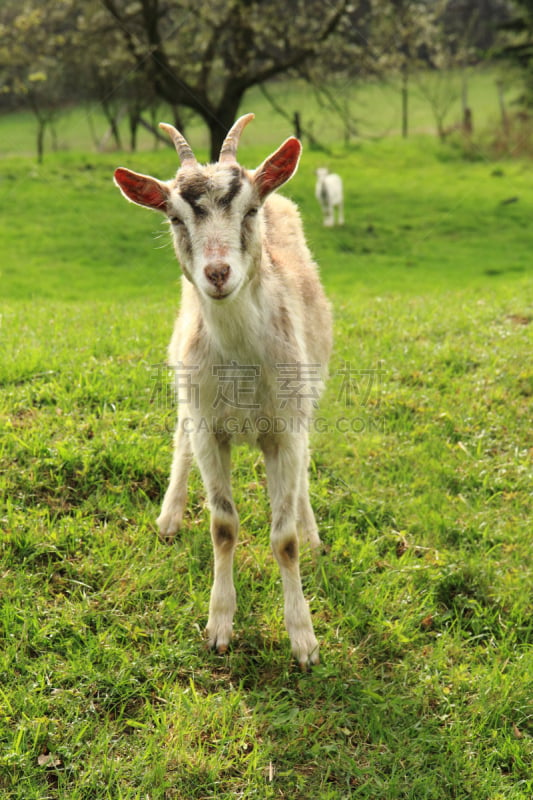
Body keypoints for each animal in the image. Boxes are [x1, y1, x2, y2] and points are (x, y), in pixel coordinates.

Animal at [114, 112, 330, 668]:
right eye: (174, 218)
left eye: (249, 209)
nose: (216, 273)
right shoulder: (210, 424)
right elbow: (223, 526)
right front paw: (219, 627)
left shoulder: (285, 427)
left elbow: (284, 537)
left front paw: (303, 640)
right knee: (180, 438)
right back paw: (169, 517)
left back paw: (314, 531)